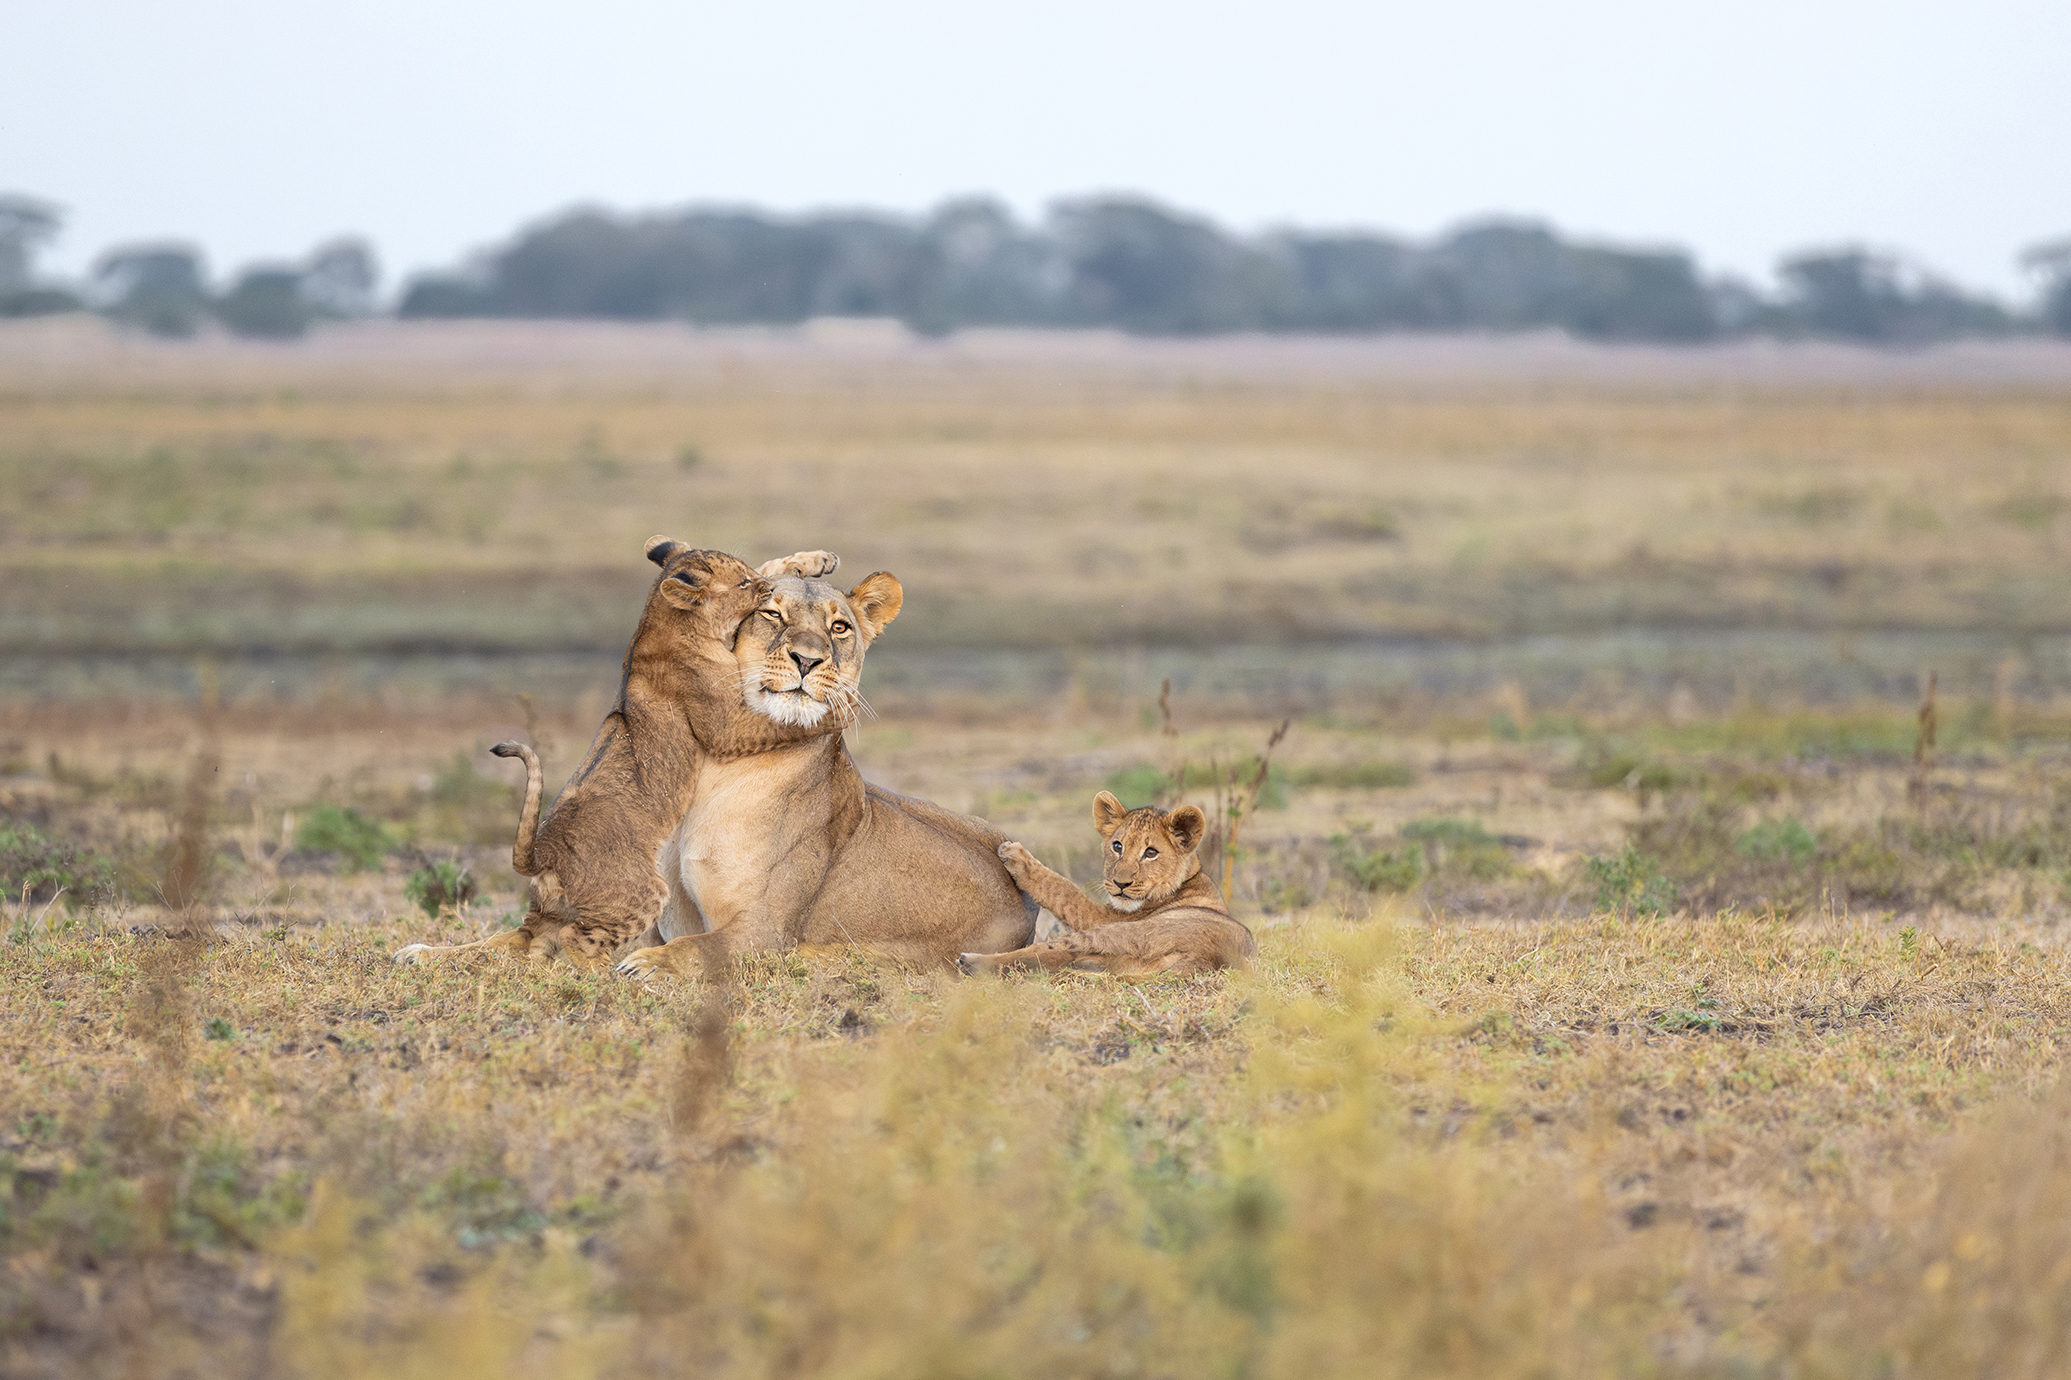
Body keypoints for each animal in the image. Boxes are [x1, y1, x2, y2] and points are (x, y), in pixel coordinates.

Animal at [392, 540, 844, 966]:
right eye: (744, 583)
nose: (768, 589)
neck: (660, 620)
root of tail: (542, 854)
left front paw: (815, 561)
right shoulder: (726, 723)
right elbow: (780, 723)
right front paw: (833, 711)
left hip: (549, 910)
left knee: (526, 941)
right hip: (642, 891)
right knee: (574, 940)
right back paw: (611, 978)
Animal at [611, 568, 1038, 978]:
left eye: (839, 627)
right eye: (772, 614)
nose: (807, 660)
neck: (717, 764)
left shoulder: (766, 931)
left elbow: (694, 948)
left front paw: (646, 964)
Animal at [959, 790, 1257, 978]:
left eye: (1151, 852)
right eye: (1117, 846)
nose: (1120, 884)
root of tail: (1209, 957)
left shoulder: (1100, 917)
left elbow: (1063, 890)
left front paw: (1015, 856)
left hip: (1116, 933)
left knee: (1042, 952)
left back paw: (971, 962)